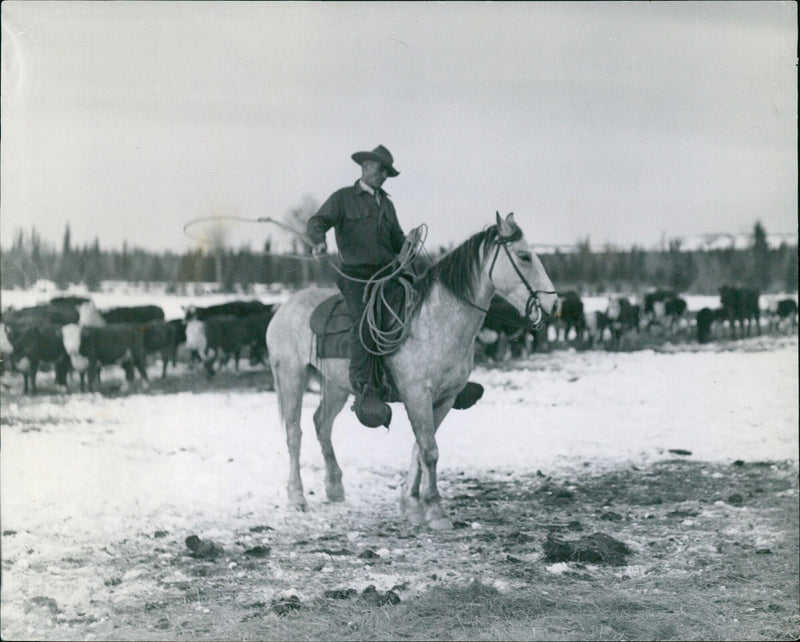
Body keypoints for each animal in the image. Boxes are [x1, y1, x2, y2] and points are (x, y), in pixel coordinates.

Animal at [268, 212, 556, 528]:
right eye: (524, 256)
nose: (554, 304)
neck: (437, 319)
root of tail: (283, 308)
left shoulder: (444, 399)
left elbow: (420, 448)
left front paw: (411, 503)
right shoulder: (417, 394)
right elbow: (429, 450)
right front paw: (435, 509)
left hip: (334, 385)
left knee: (322, 423)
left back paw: (334, 487)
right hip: (291, 376)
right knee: (294, 433)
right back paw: (297, 497)